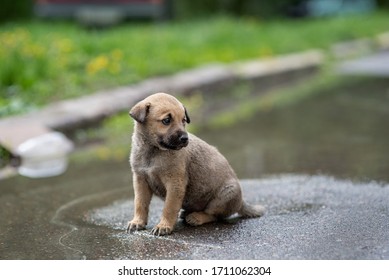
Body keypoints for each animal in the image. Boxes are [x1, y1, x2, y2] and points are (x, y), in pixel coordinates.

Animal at [126, 93, 264, 235]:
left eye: (183, 120)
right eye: (166, 120)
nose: (184, 138)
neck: (153, 150)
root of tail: (241, 202)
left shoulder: (174, 184)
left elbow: (169, 207)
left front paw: (164, 226)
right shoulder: (140, 180)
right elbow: (140, 204)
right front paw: (138, 222)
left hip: (226, 194)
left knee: (214, 215)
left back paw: (196, 217)